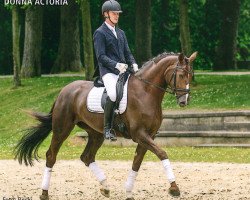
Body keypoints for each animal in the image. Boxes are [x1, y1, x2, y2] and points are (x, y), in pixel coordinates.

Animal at [14, 52, 197, 200]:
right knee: (51, 155)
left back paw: (106, 187)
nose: (184, 101)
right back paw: (44, 193)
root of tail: (63, 91)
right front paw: (174, 188)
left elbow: (137, 162)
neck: (146, 91)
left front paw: (128, 191)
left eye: (191, 75)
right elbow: (162, 153)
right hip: (62, 129)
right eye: (181, 74)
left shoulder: (148, 136)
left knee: (87, 157)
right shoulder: (140, 134)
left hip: (96, 134)